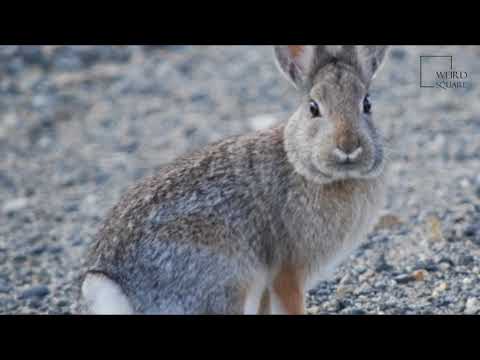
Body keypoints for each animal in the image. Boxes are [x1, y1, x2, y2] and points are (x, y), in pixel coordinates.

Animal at [79, 45, 390, 316]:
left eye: (367, 104)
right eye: (313, 108)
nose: (348, 146)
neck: (304, 165)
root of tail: (116, 289)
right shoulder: (288, 269)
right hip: (227, 278)